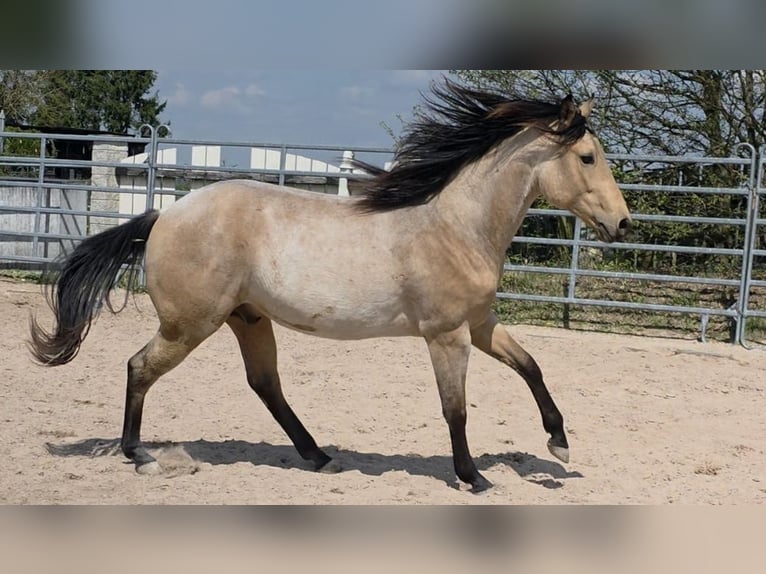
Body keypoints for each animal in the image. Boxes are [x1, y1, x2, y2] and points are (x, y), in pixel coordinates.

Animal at [29, 80, 631, 493]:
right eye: (587, 157)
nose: (622, 224)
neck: (456, 225)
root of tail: (165, 215)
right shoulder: (447, 335)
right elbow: (455, 408)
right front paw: (473, 478)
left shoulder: (479, 325)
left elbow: (532, 367)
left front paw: (559, 445)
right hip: (189, 325)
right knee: (140, 367)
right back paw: (141, 455)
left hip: (247, 318)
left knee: (265, 384)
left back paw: (318, 456)